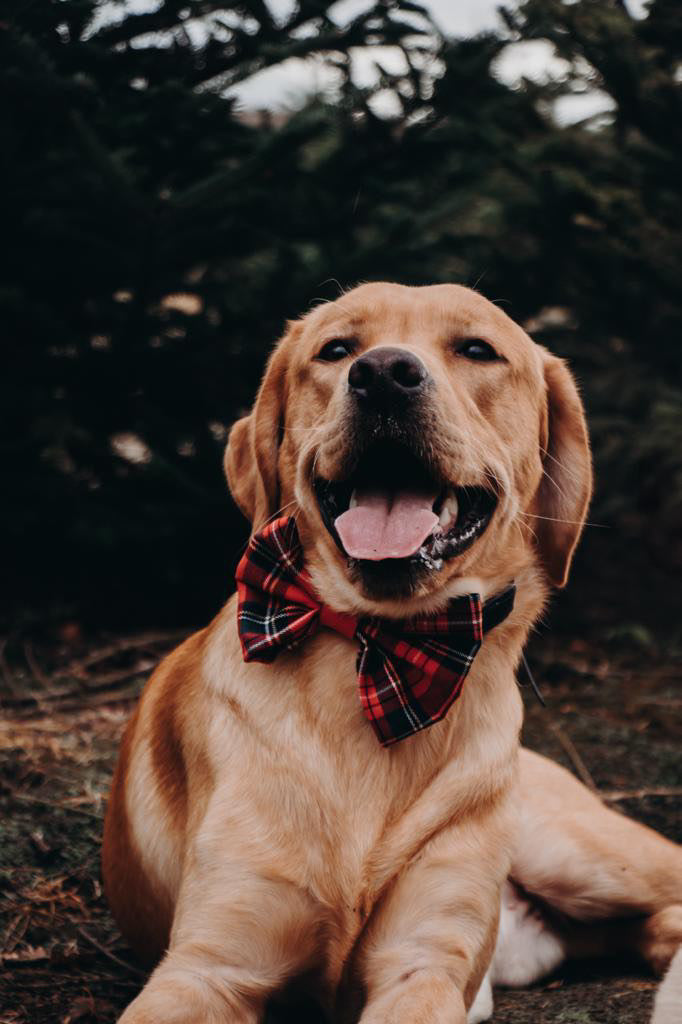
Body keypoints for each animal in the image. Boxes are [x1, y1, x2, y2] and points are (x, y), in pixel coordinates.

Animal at [102, 282, 679, 1024]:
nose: (381, 375)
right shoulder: (207, 968)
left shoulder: (421, 964)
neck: (386, 654)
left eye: (476, 349)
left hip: (582, 854)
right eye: (336, 349)